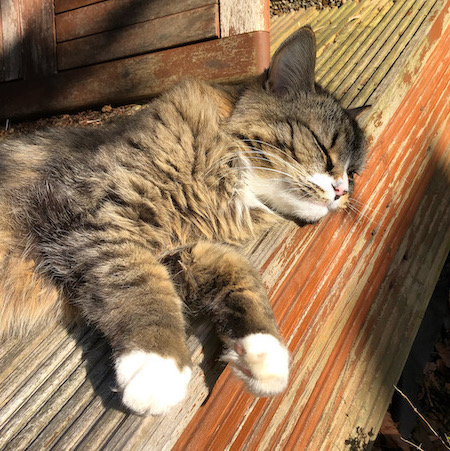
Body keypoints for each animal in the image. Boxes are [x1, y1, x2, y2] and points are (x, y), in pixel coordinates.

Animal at [0, 27, 368, 416]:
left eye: (353, 174)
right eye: (324, 148)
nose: (342, 192)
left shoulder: (175, 251)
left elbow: (237, 269)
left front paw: (263, 351)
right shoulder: (89, 214)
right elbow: (139, 282)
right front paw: (157, 364)